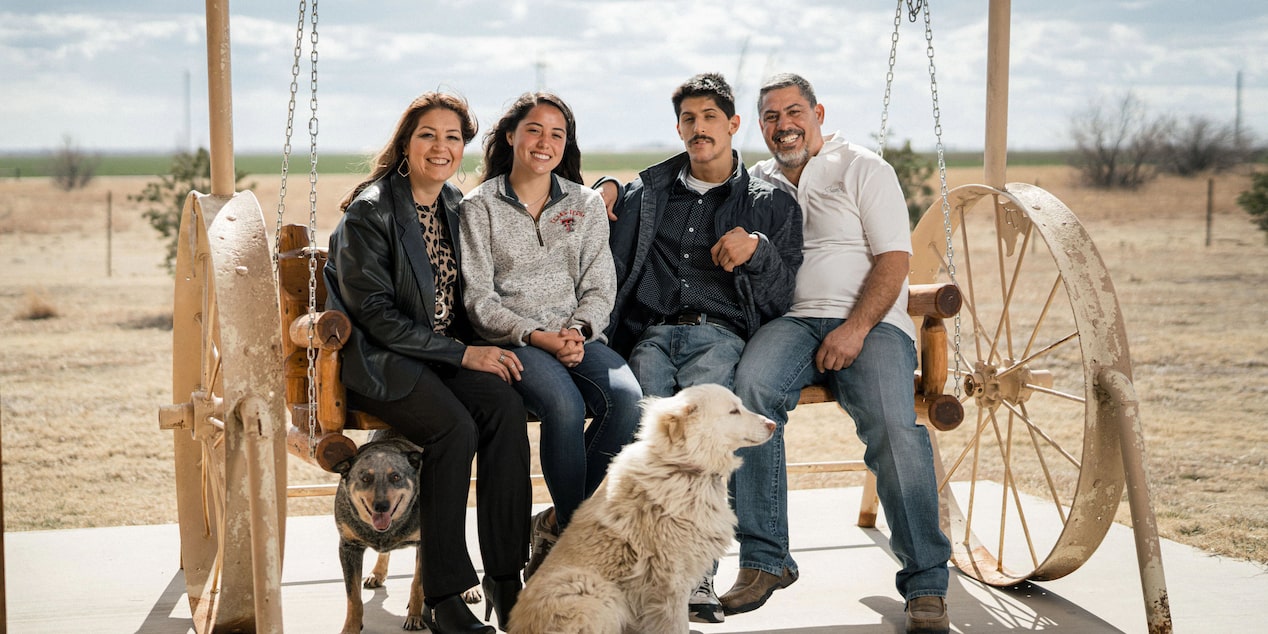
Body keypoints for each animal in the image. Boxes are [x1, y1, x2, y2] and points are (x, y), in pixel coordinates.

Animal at [504, 380, 770, 634]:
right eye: (733, 411)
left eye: (740, 406)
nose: (773, 425)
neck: (681, 468)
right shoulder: (670, 580)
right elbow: (676, 625)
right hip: (596, 590)